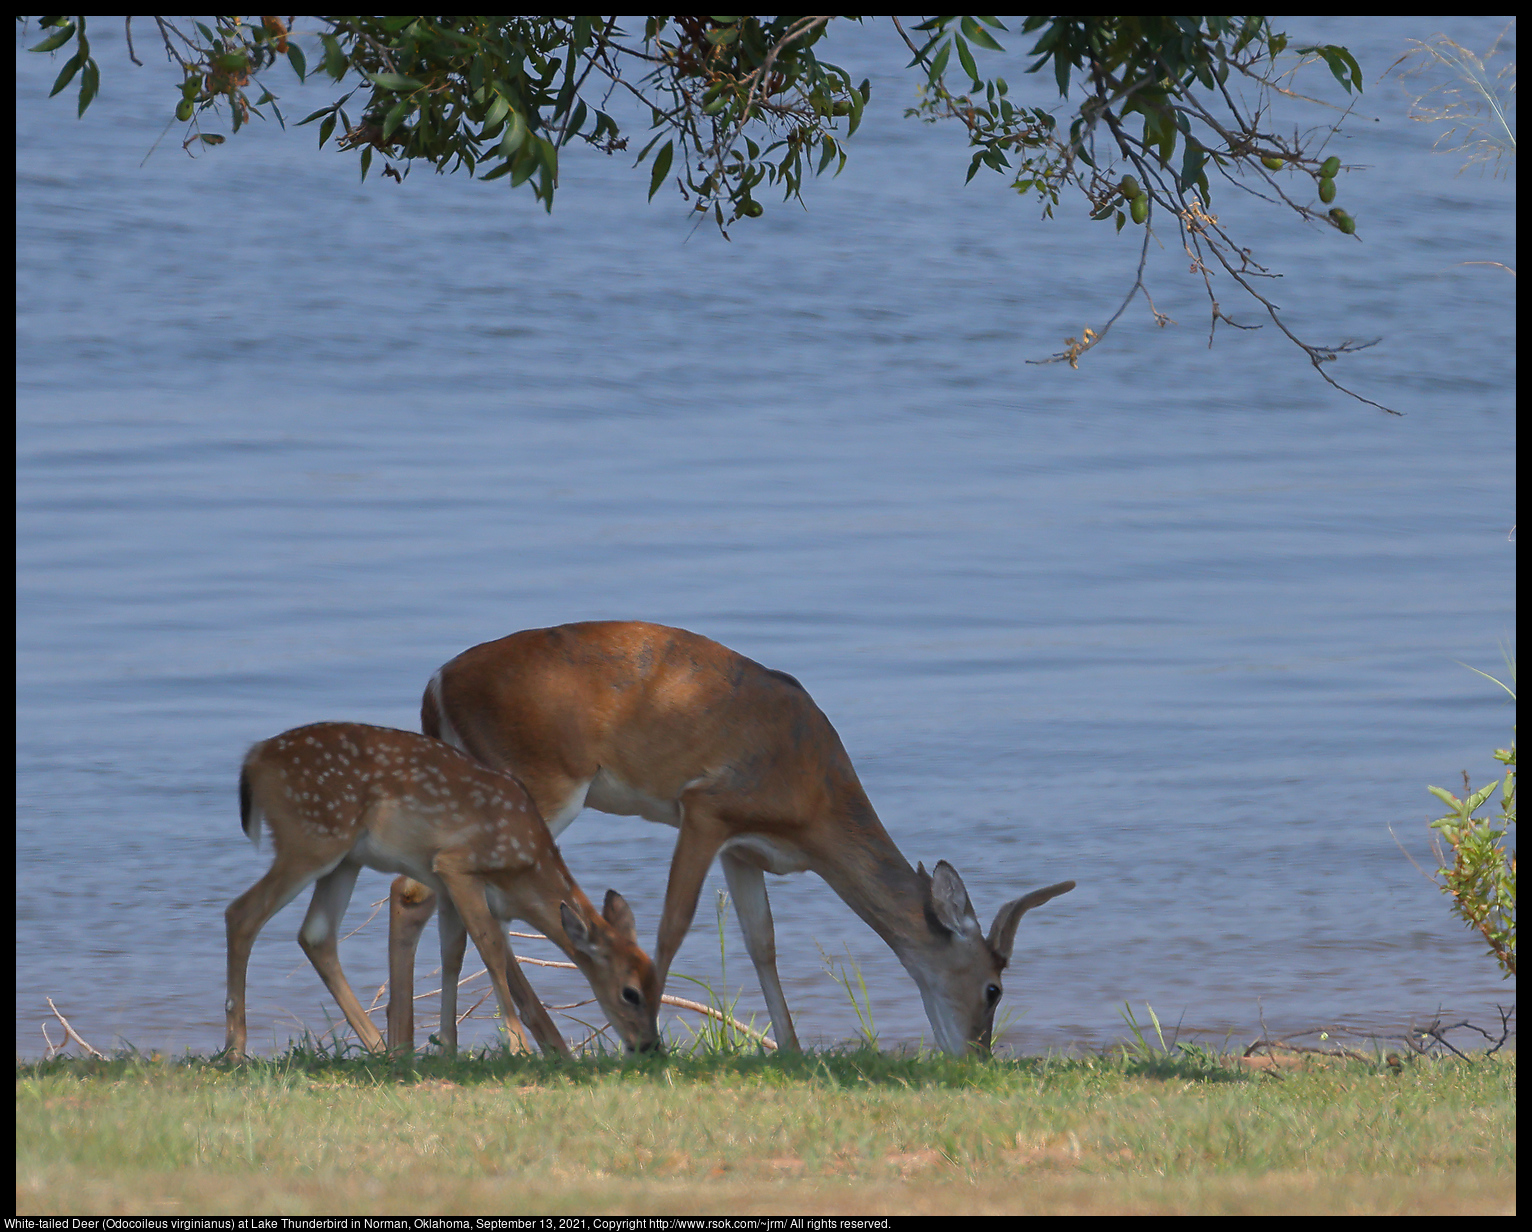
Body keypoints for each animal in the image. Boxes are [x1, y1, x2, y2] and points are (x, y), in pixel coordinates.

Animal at [225, 723, 658, 1060]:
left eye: (658, 986)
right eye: (630, 993)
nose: (650, 1046)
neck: (525, 867)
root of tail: (254, 758)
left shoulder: (445, 887)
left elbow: (454, 955)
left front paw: (448, 1048)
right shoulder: (456, 864)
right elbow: (490, 950)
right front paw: (518, 1048)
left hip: (343, 859)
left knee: (315, 933)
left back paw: (379, 1047)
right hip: (310, 839)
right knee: (242, 913)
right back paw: (235, 1049)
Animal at [386, 622, 1078, 1054]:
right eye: (993, 987)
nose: (977, 1056)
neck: (813, 800)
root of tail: (434, 686)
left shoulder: (744, 849)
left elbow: (761, 941)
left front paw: (791, 1049)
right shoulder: (705, 807)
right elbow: (673, 924)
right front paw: (647, 1037)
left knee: (443, 899)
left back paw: (415, 1046)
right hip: (538, 783)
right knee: (429, 895)